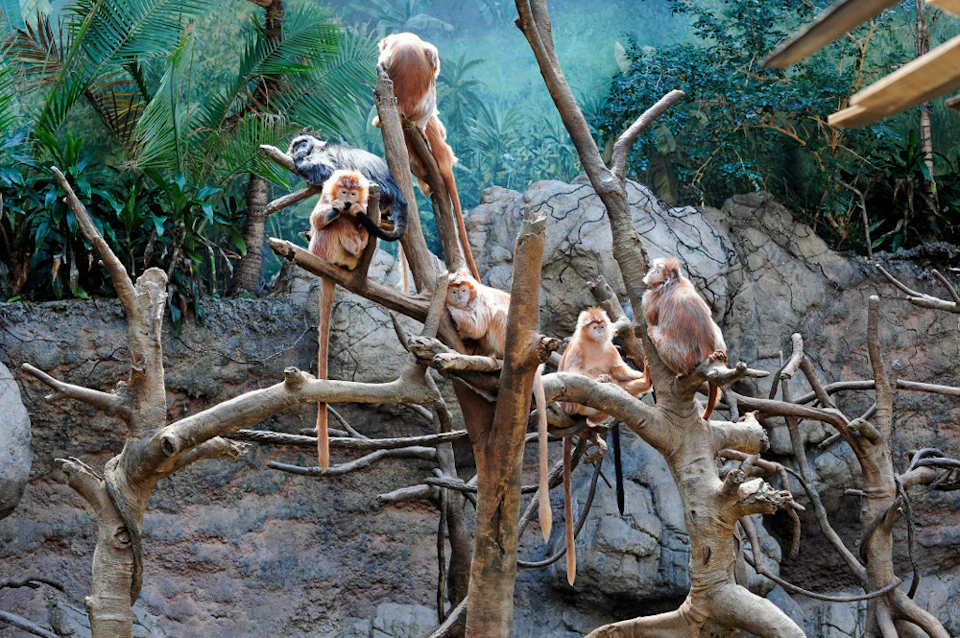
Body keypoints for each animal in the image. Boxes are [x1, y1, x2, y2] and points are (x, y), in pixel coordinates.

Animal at [557, 307, 652, 582]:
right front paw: (599, 377)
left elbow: (619, 370)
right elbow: (575, 373)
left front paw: (641, 376)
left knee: (616, 382)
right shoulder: (577, 347)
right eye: (594, 326)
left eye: (601, 325)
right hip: (571, 405)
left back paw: (641, 384)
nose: (600, 330)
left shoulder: (610, 349)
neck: (595, 345)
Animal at [641, 257, 727, 420]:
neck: (675, 282)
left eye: (656, 270)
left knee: (652, 331)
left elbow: (651, 317)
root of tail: (708, 351)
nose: (649, 272)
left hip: (678, 355)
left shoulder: (653, 297)